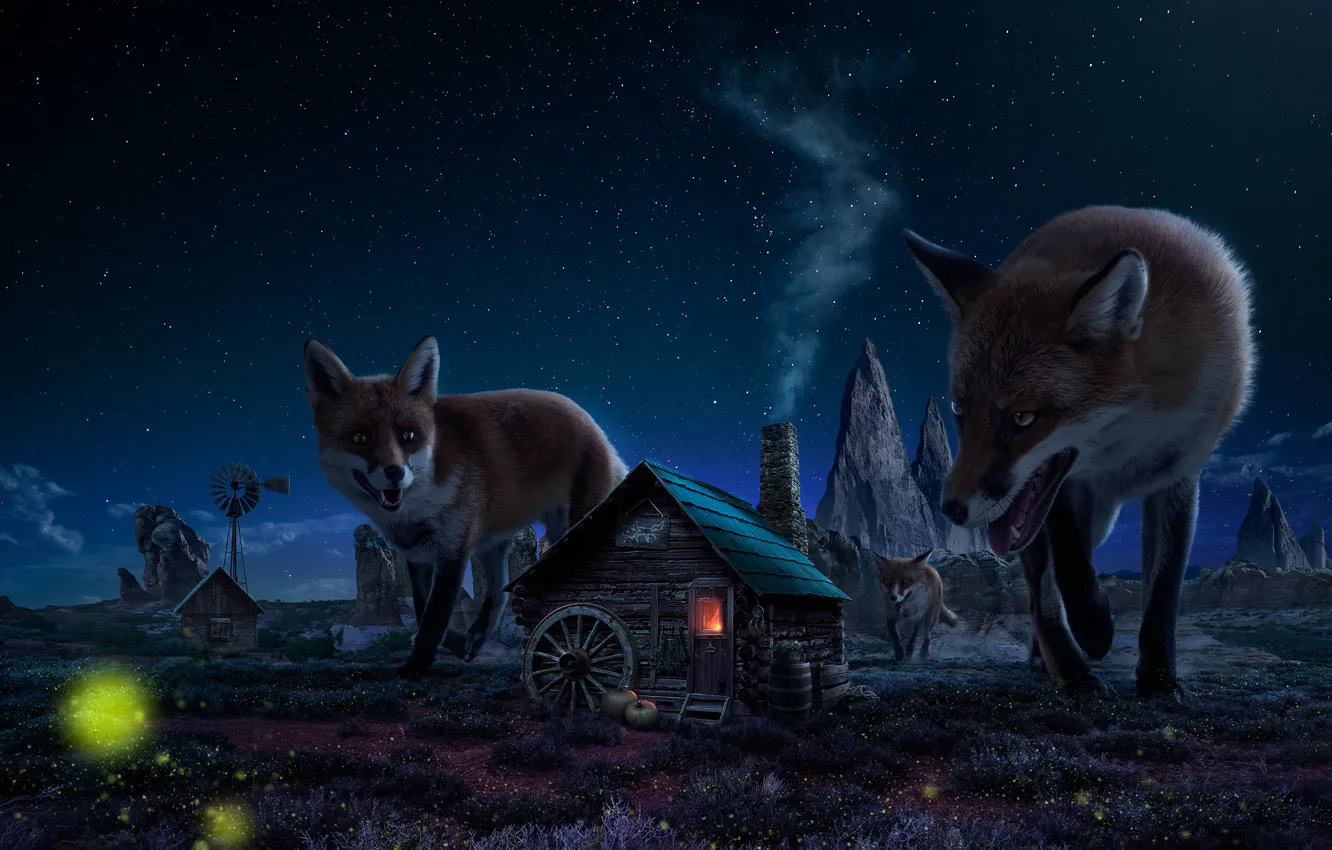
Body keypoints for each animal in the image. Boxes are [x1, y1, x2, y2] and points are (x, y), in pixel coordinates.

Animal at [303, 335, 629, 679]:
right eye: (360, 438)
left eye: (408, 435)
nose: (395, 472)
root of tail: (593, 423)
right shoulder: (417, 553)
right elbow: (422, 610)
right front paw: (454, 643)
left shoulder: (453, 550)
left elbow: (434, 617)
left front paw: (415, 666)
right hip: (493, 546)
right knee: (498, 594)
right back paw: (475, 639)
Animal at [902, 205, 1255, 700]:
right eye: (958, 411)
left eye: (1022, 418)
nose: (950, 510)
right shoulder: (1064, 489)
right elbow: (1069, 568)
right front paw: (1093, 627)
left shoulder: (1179, 475)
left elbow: (1163, 593)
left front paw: (1159, 681)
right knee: (1041, 597)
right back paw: (1070, 670)